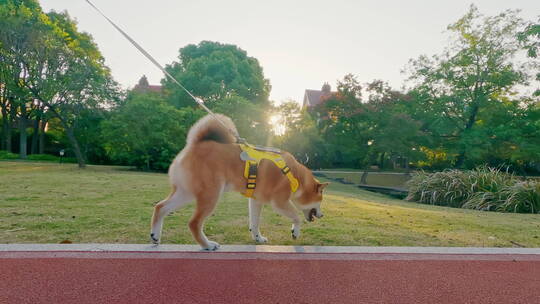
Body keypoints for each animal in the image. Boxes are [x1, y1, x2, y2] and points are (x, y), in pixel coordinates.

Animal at [149, 115, 324, 251]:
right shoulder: (279, 202)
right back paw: (207, 245)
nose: (322, 215)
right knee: (194, 223)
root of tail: (194, 144)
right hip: (210, 195)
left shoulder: (256, 201)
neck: (296, 176)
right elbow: (296, 216)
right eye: (321, 201)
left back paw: (155, 236)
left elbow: (255, 223)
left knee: (160, 207)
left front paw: (258, 238)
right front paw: (295, 232)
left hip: (186, 193)